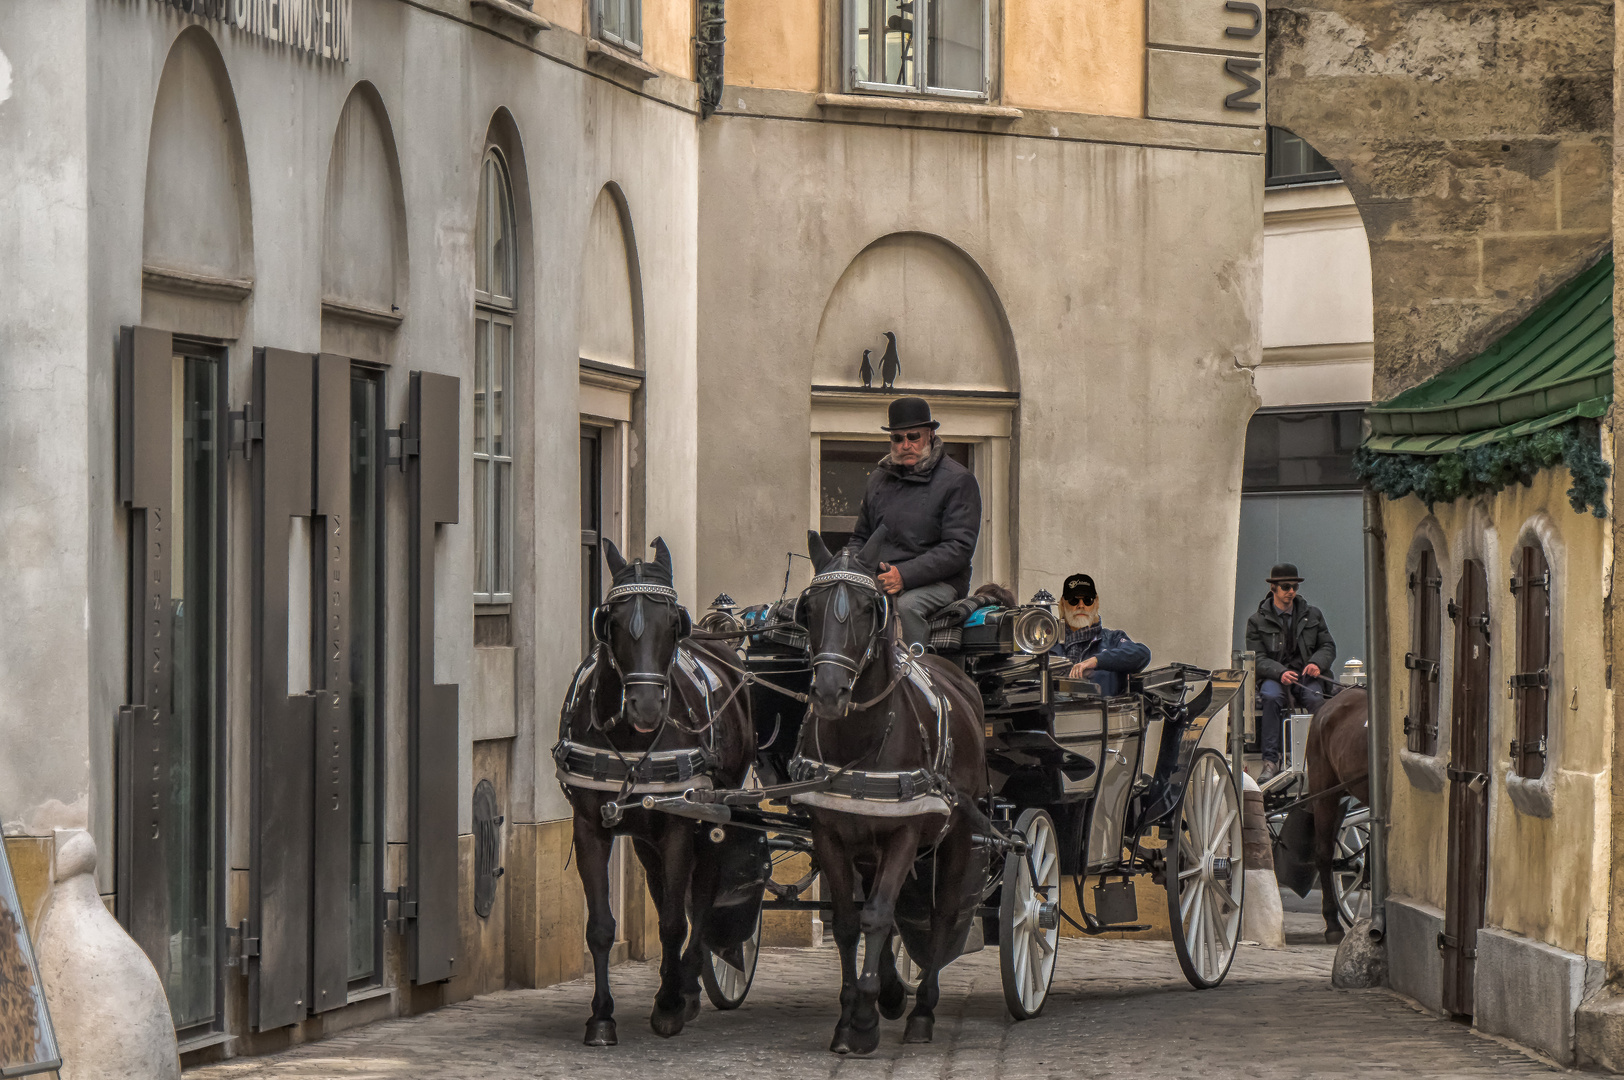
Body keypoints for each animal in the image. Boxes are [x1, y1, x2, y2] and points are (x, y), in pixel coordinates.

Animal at [555, 539, 756, 1045]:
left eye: (671, 623)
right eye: (612, 622)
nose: (646, 707)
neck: (632, 739)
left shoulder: (679, 827)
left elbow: (672, 921)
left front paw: (668, 1005)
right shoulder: (590, 826)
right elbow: (601, 926)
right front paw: (601, 1017)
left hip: (710, 820)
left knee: (699, 899)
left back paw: (685, 989)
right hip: (647, 837)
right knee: (663, 887)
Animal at [795, 529, 987, 1052]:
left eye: (868, 608)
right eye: (809, 608)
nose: (829, 693)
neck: (862, 736)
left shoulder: (904, 835)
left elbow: (878, 916)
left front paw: (864, 1021)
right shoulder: (830, 834)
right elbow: (848, 922)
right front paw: (852, 1015)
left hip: (958, 834)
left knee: (942, 915)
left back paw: (922, 1011)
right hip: (868, 848)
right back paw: (894, 993)